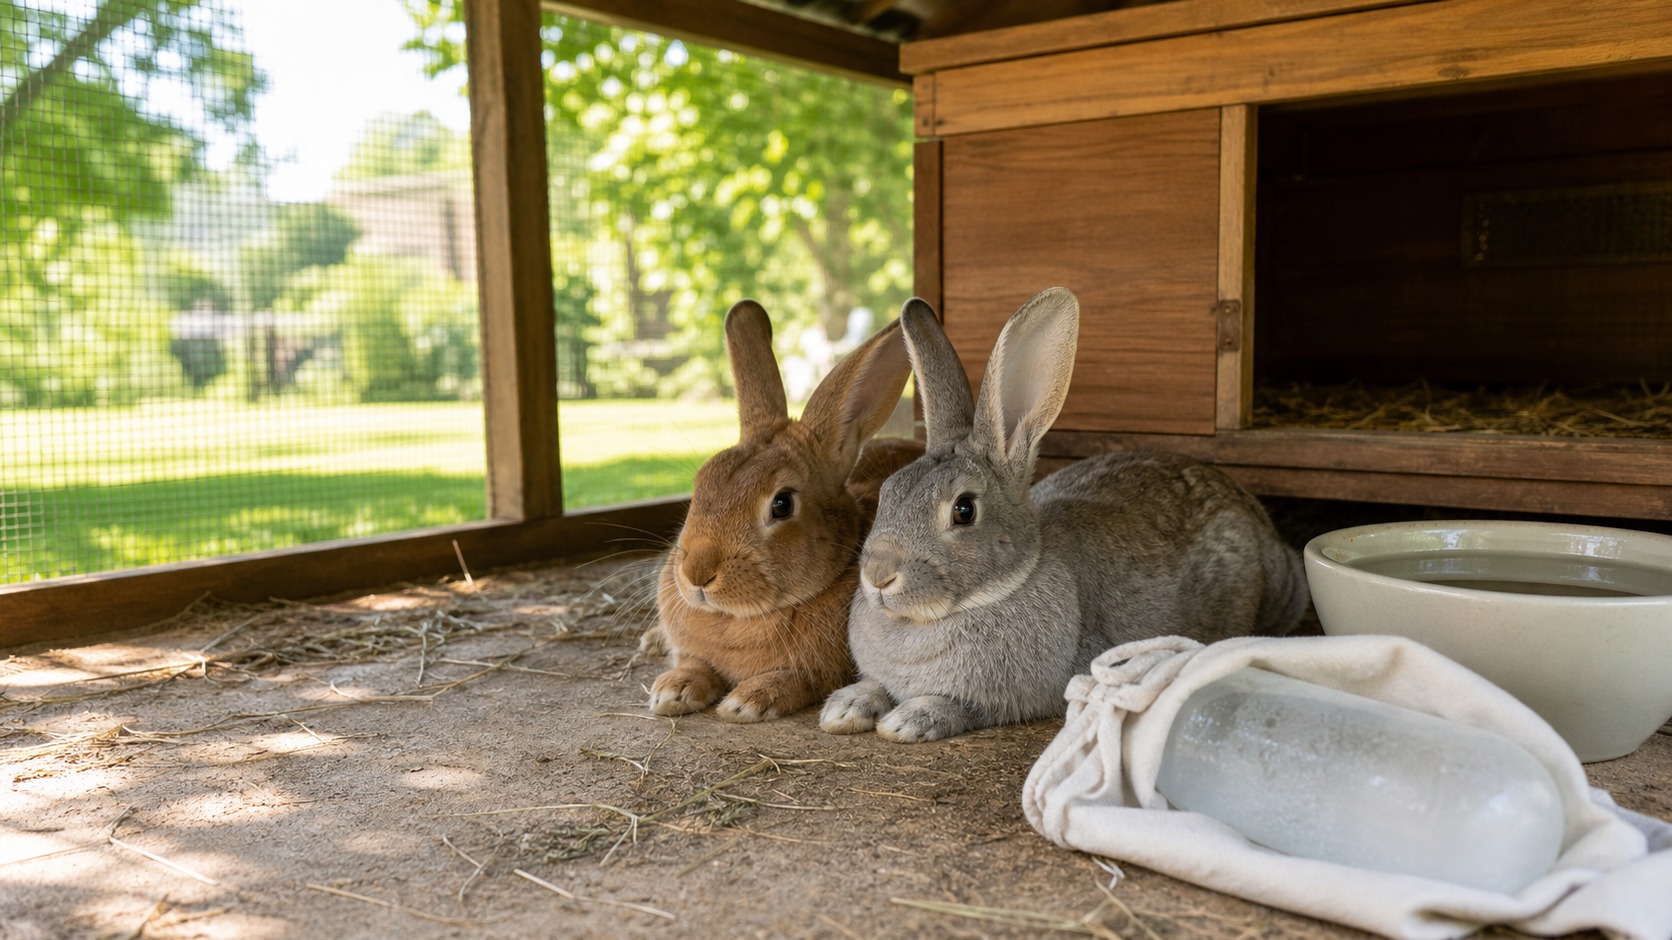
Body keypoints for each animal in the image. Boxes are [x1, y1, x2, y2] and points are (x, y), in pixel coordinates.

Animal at [647, 299, 923, 721]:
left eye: (782, 504)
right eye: (700, 485)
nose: (697, 575)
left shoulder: (821, 672)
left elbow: (798, 679)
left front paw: (748, 701)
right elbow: (693, 662)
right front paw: (673, 690)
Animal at [820, 287, 1308, 742]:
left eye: (963, 510)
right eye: (888, 491)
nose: (878, 576)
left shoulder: (1015, 696)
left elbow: (961, 705)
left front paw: (909, 720)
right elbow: (874, 686)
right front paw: (844, 708)